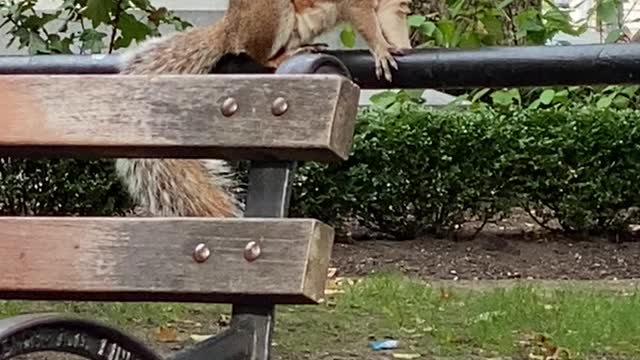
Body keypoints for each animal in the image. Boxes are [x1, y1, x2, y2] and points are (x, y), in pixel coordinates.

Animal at [115, 0, 416, 218]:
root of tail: (230, 28)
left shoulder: (393, 5)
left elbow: (392, 19)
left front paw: (401, 46)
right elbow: (366, 22)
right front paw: (381, 49)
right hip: (272, 14)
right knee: (258, 54)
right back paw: (285, 55)